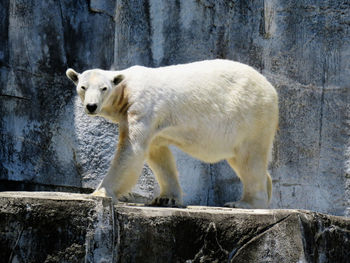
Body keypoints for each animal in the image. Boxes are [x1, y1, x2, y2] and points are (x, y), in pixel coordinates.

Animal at [66, 59, 278, 208]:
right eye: (83, 87)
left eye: (104, 88)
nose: (91, 106)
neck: (125, 89)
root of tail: (270, 87)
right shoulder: (152, 122)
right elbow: (158, 154)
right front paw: (165, 198)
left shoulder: (141, 107)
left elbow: (131, 150)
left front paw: (99, 193)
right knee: (241, 161)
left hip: (251, 116)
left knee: (249, 158)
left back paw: (245, 203)